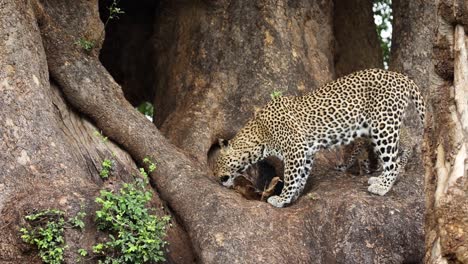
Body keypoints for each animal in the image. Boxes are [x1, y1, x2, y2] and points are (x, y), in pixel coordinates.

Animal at [214, 68, 426, 208]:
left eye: (218, 165)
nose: (216, 179)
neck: (260, 134)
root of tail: (402, 77)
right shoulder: (305, 152)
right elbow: (300, 177)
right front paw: (294, 197)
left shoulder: (295, 150)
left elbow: (290, 177)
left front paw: (281, 198)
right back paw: (378, 179)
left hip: (384, 126)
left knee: (394, 162)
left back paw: (382, 187)